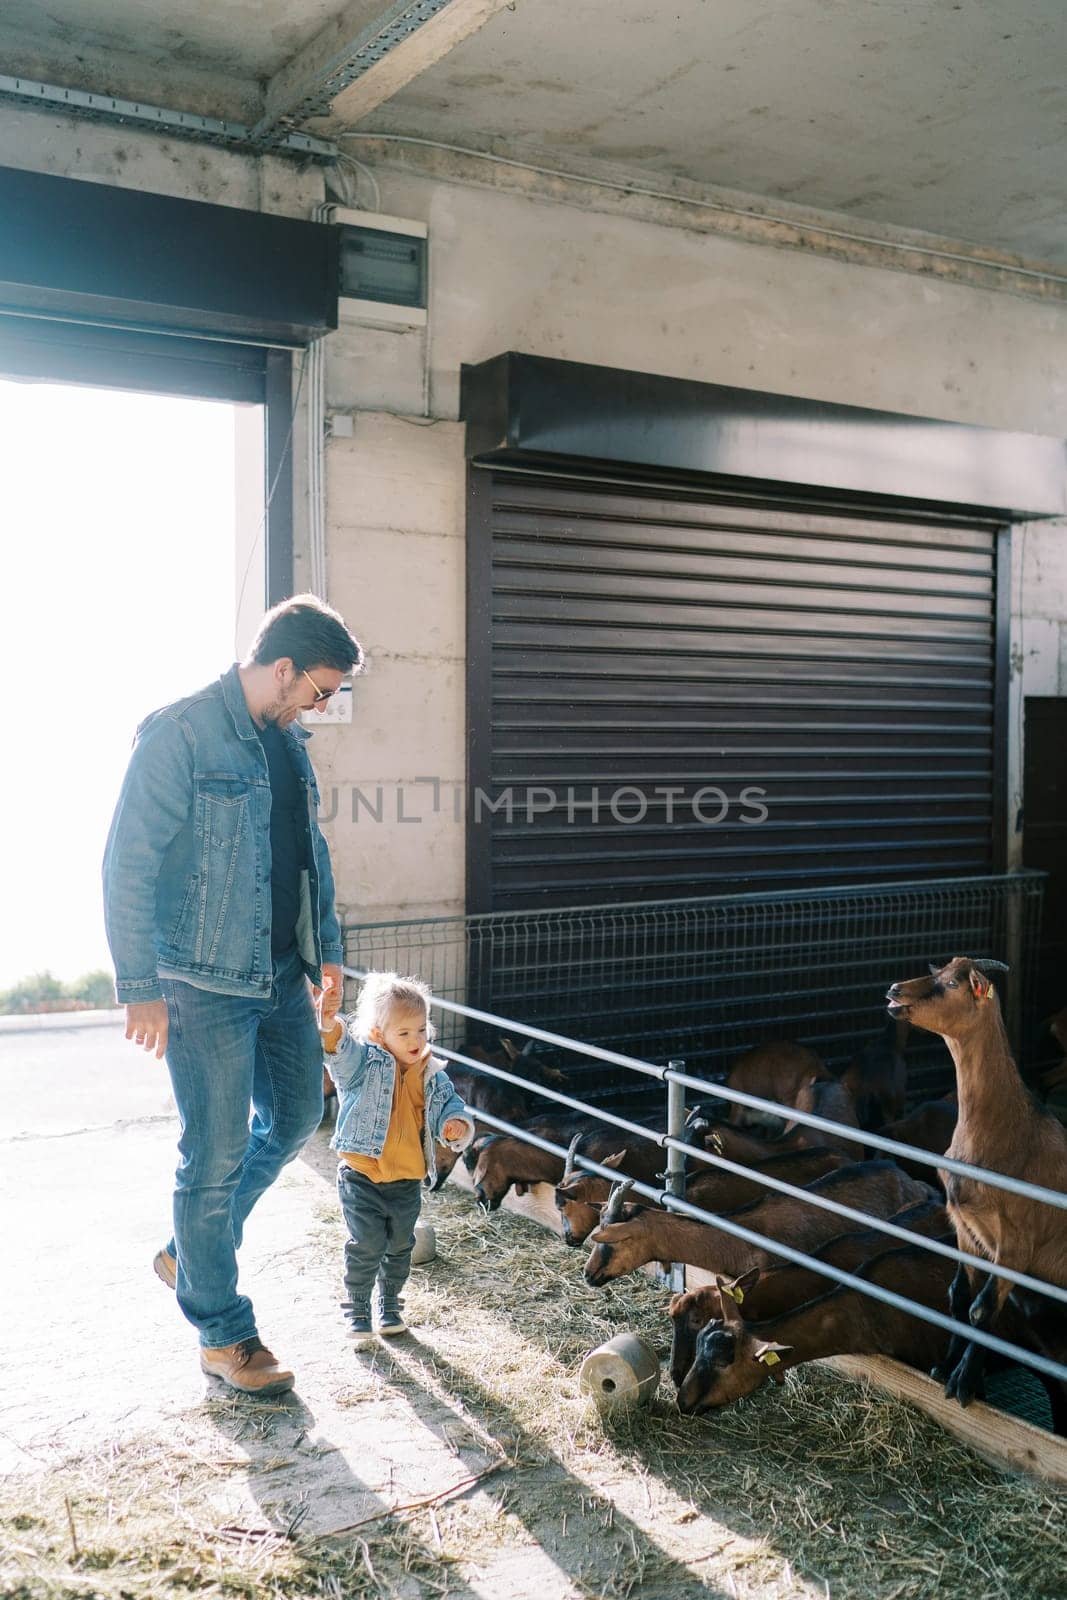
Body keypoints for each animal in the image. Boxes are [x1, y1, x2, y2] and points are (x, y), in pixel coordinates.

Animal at [883, 953, 1067, 1408]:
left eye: (951, 984)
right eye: (938, 971)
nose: (894, 990)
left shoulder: (1016, 1247)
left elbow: (982, 1311)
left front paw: (965, 1383)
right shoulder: (967, 1231)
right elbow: (959, 1299)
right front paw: (946, 1368)